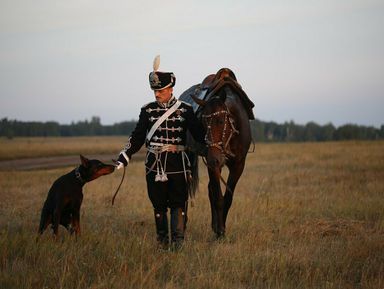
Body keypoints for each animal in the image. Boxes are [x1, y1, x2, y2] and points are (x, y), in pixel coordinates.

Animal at [181, 67, 255, 236]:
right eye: (202, 121)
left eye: (221, 121)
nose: (213, 159)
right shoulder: (213, 164)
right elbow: (218, 197)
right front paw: (220, 230)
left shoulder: (238, 165)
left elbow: (227, 197)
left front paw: (220, 228)